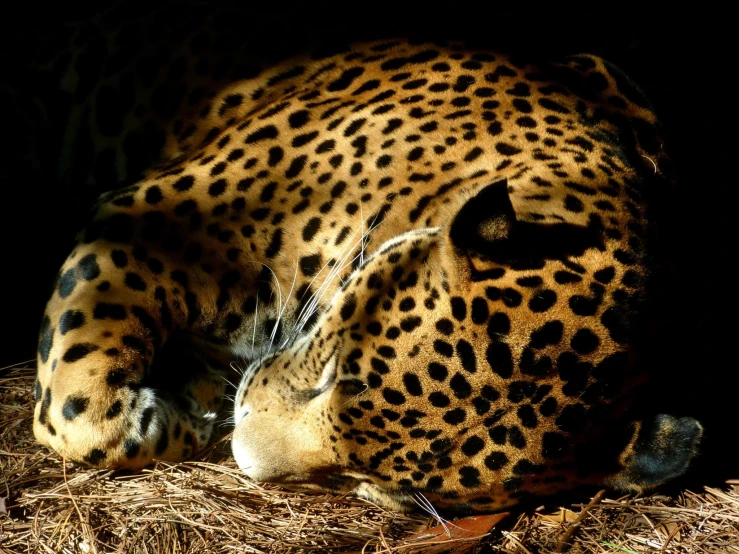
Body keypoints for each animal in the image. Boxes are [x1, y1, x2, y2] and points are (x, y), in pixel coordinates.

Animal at [31, 37, 704, 512]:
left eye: (374, 483)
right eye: (332, 373)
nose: (244, 455)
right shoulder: (152, 217)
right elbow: (78, 409)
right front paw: (174, 414)